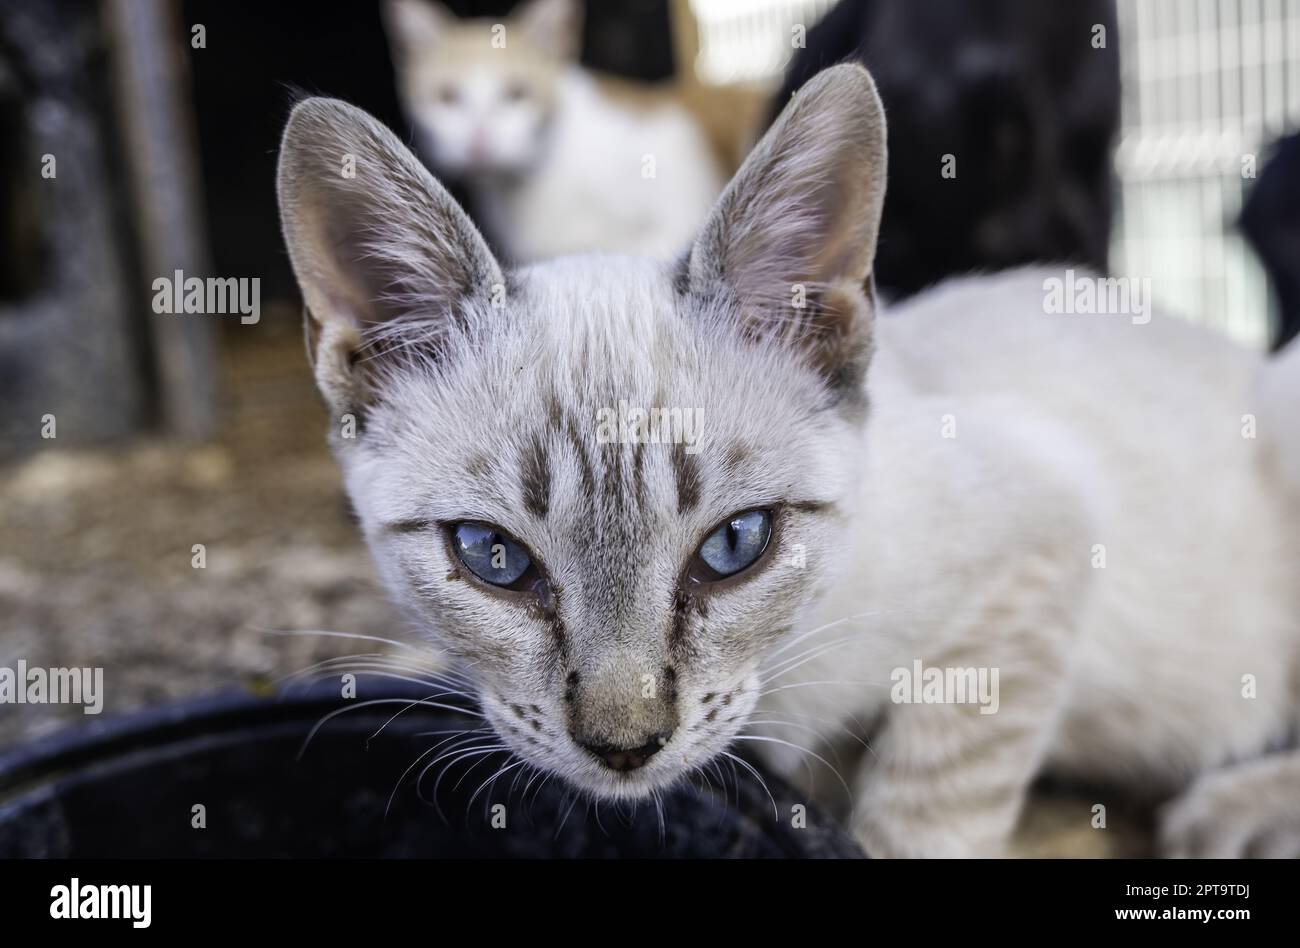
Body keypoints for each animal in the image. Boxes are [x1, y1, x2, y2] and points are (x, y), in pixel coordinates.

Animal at [276, 62, 1300, 853]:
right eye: (493, 558)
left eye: (736, 546)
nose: (625, 746)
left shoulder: (1042, 540)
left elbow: (930, 803)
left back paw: (1234, 809)